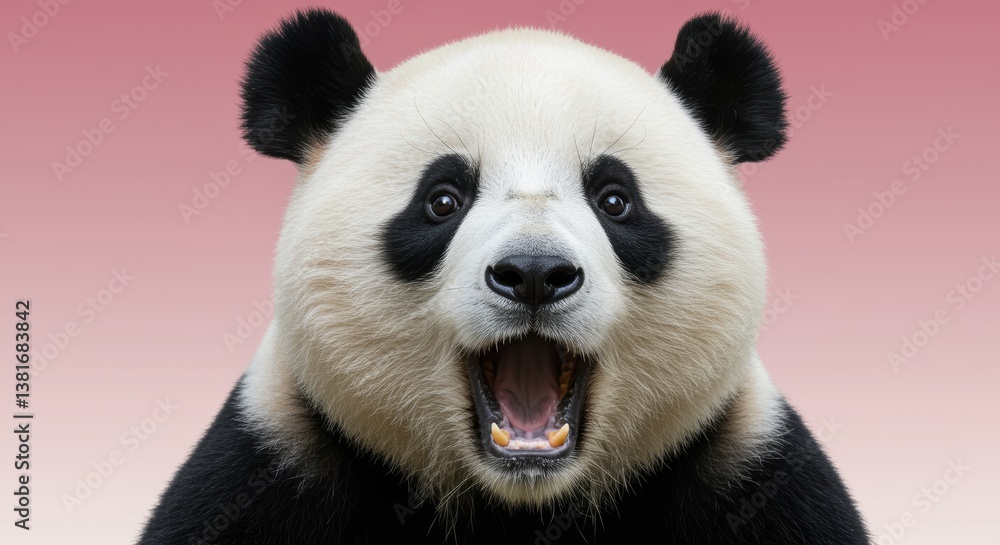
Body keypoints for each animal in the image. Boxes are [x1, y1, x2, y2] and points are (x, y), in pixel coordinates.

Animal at [140, 8, 869, 544]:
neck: (519, 502)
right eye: (442, 199)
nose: (534, 273)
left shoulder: (752, 477)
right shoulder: (270, 471)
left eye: (615, 199)